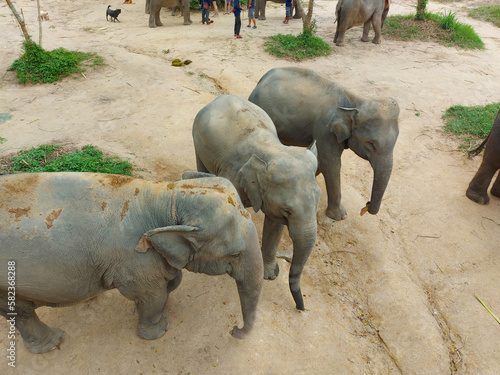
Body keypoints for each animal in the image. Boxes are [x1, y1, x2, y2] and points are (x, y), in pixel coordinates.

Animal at [0, 172, 264, 354]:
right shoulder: (133, 258)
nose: (234, 330)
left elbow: (169, 281)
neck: (165, 195)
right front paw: (158, 331)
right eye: (235, 254)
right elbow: (152, 295)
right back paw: (54, 343)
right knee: (22, 312)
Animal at [191, 94, 320, 312]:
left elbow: (274, 227)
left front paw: (269, 275)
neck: (274, 150)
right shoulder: (233, 175)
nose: (301, 309)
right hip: (196, 139)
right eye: (288, 210)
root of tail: (219, 97)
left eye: (318, 201)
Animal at [248, 66, 400, 222]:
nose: (367, 204)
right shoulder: (325, 129)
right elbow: (331, 163)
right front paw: (340, 216)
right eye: (371, 143)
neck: (357, 100)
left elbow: (322, 160)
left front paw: (312, 177)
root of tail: (263, 78)